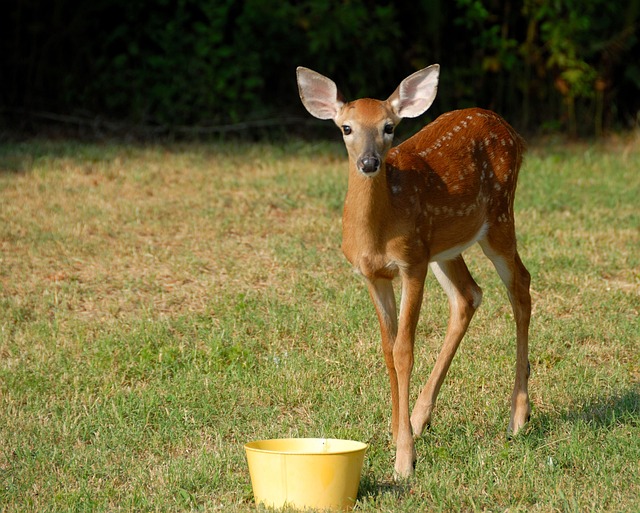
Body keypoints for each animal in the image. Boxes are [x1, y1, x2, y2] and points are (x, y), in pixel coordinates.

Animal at [298, 63, 532, 476]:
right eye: (346, 128)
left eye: (389, 126)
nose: (369, 163)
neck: (377, 232)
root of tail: (509, 129)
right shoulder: (374, 276)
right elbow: (387, 348)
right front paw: (396, 430)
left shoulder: (411, 264)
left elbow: (405, 349)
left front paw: (404, 459)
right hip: (444, 246)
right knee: (469, 295)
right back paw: (422, 416)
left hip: (498, 216)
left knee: (521, 285)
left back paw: (518, 416)